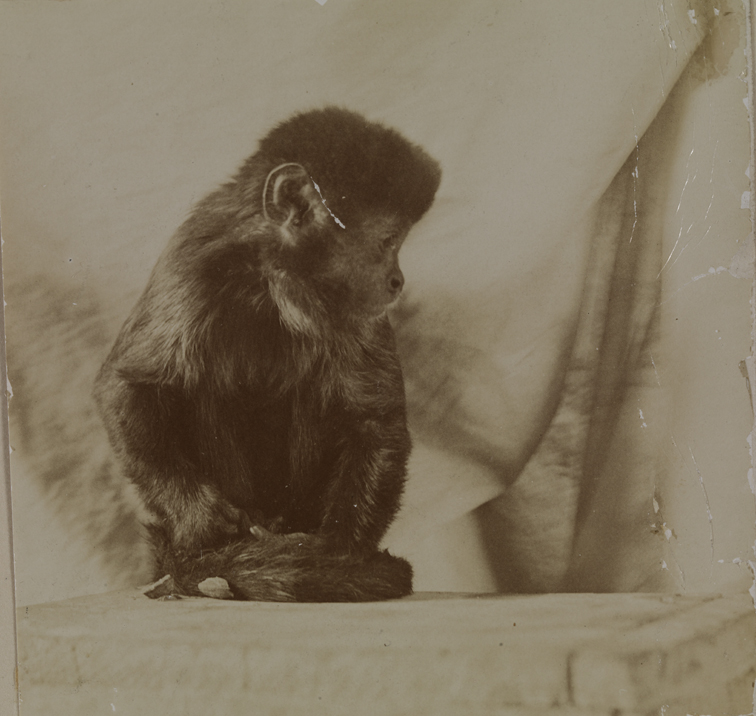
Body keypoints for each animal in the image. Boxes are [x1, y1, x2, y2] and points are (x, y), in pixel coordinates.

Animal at [93, 107, 441, 602]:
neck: (269, 278)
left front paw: (335, 553)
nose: (397, 281)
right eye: (389, 241)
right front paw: (199, 517)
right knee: (201, 389)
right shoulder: (194, 262)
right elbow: (127, 385)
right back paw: (204, 562)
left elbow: (377, 418)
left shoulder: (350, 302)